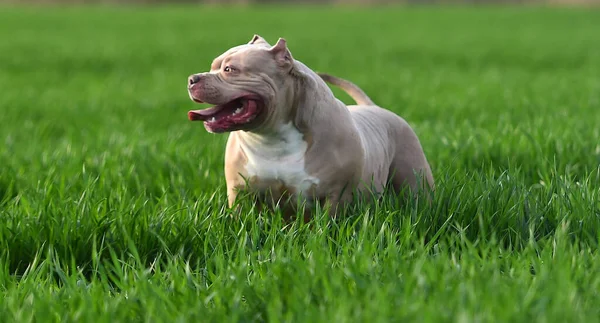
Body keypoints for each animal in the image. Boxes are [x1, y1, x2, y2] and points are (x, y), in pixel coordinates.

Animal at [185, 35, 434, 221]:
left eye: (229, 70)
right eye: (213, 67)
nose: (192, 78)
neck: (272, 137)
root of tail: (373, 107)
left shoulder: (336, 194)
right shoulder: (240, 192)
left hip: (413, 174)